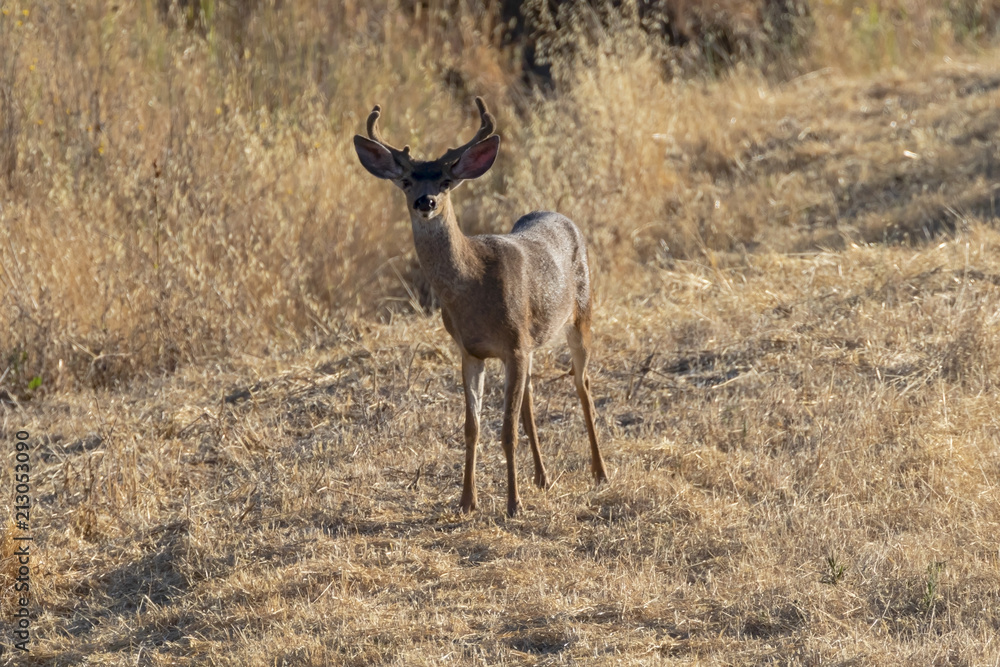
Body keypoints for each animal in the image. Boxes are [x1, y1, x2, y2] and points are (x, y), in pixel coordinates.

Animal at [354, 97, 608, 517]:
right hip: (532, 343)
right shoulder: (471, 351)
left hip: (581, 316)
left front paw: (513, 504)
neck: (473, 287)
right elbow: (471, 427)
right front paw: (467, 501)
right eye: (406, 180)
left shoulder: (514, 345)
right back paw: (542, 478)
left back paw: (600, 472)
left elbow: (505, 431)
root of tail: (561, 216)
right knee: (530, 403)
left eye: (445, 180)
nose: (426, 201)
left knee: (582, 386)